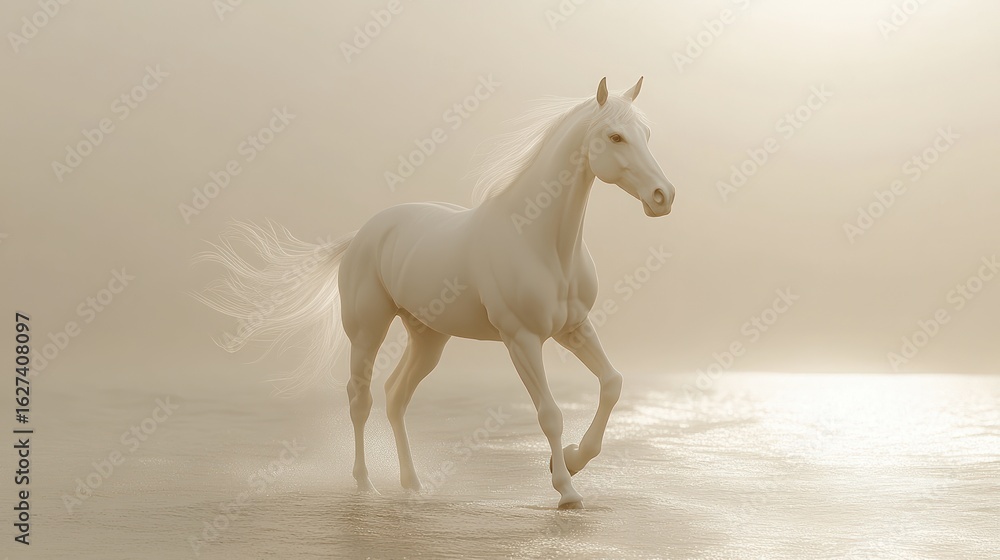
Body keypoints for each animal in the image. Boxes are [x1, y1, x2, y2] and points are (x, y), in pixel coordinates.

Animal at [195, 77, 675, 509]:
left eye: (647, 135)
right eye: (615, 136)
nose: (663, 196)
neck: (539, 238)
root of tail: (361, 236)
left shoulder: (574, 328)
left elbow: (612, 383)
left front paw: (575, 459)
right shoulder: (522, 340)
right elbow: (550, 414)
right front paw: (567, 489)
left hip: (428, 338)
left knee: (396, 396)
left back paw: (412, 484)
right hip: (367, 332)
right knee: (360, 399)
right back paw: (366, 485)